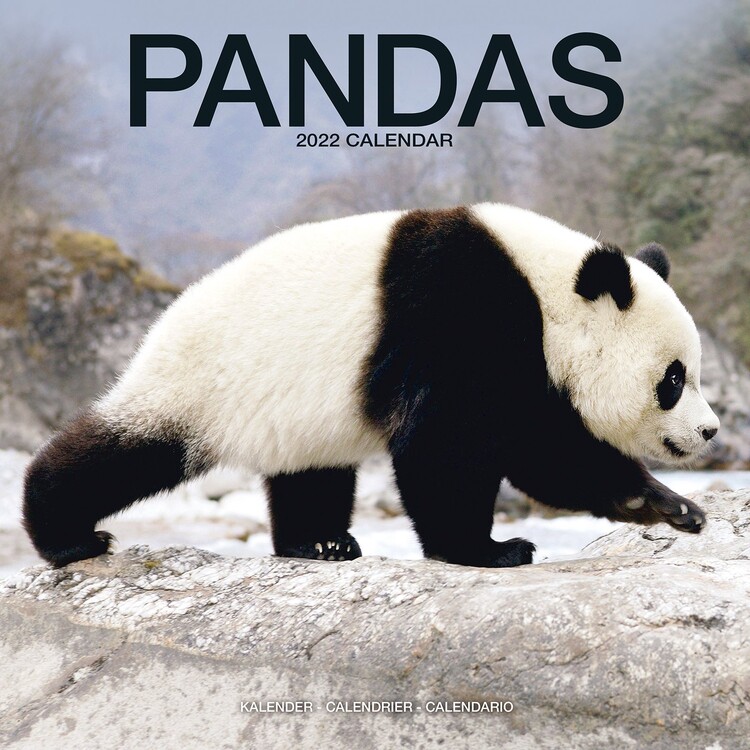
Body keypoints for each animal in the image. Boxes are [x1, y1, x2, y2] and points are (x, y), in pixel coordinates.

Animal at [23, 204, 720, 569]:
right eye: (673, 379)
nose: (710, 431)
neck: (545, 291)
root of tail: (160, 326)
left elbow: (540, 450)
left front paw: (671, 507)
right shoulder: (459, 316)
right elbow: (456, 446)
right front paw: (489, 549)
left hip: (296, 413)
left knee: (311, 472)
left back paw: (320, 542)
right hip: (201, 381)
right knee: (127, 450)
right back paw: (67, 535)